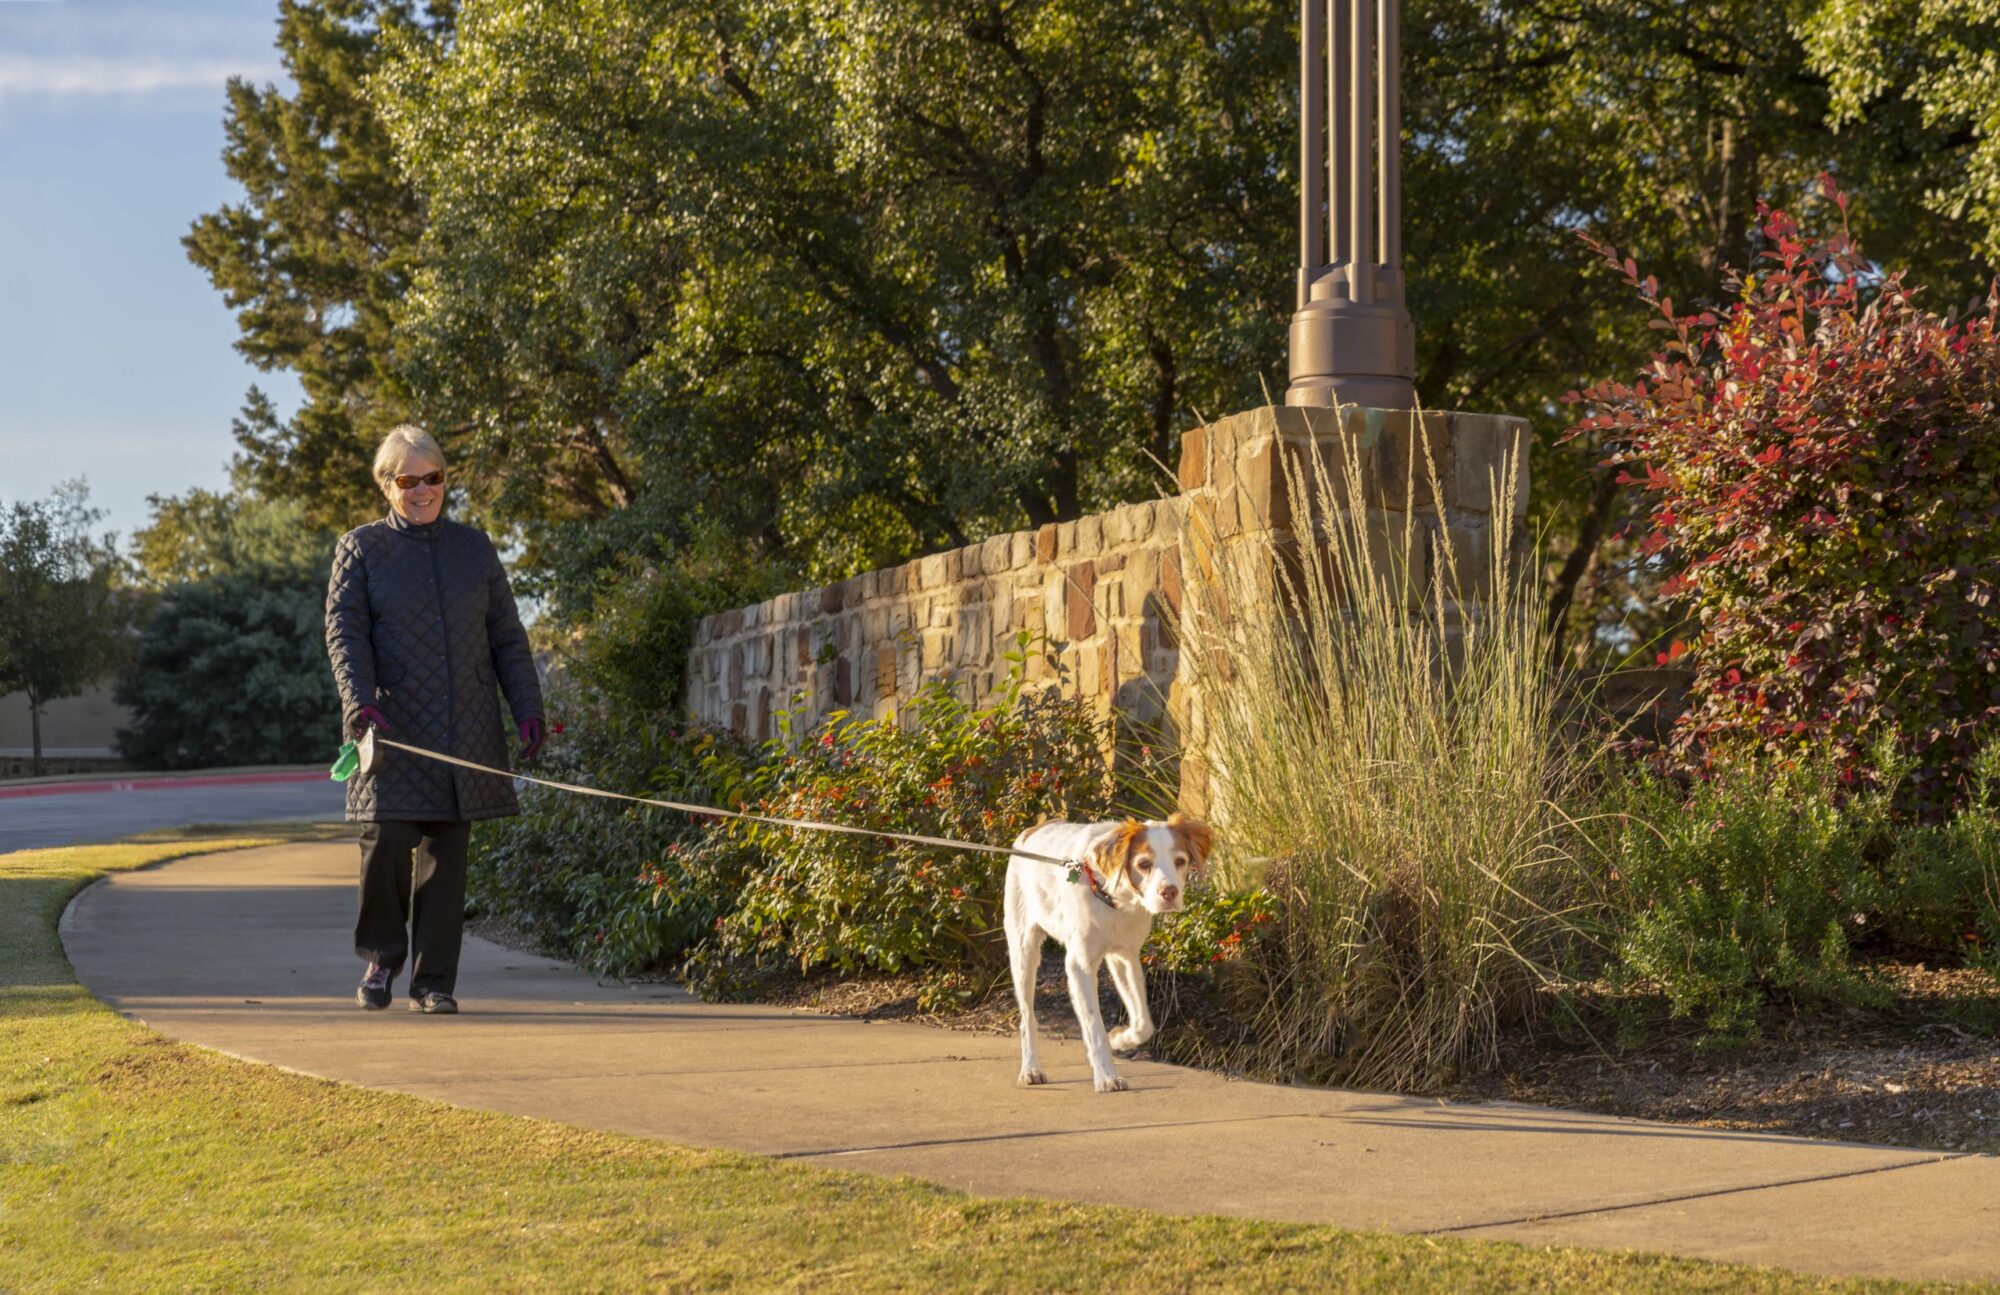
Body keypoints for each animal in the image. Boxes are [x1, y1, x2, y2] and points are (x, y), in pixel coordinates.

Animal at [1008, 819, 1208, 1095]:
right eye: (1143, 864)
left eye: (1180, 860)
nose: (1170, 892)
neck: (1114, 898)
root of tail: (1033, 828)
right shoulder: (1079, 965)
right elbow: (1094, 1027)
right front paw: (1106, 1076)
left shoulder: (1125, 955)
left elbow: (1144, 1023)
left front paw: (1119, 1039)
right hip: (1023, 948)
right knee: (1028, 1017)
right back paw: (1030, 1069)